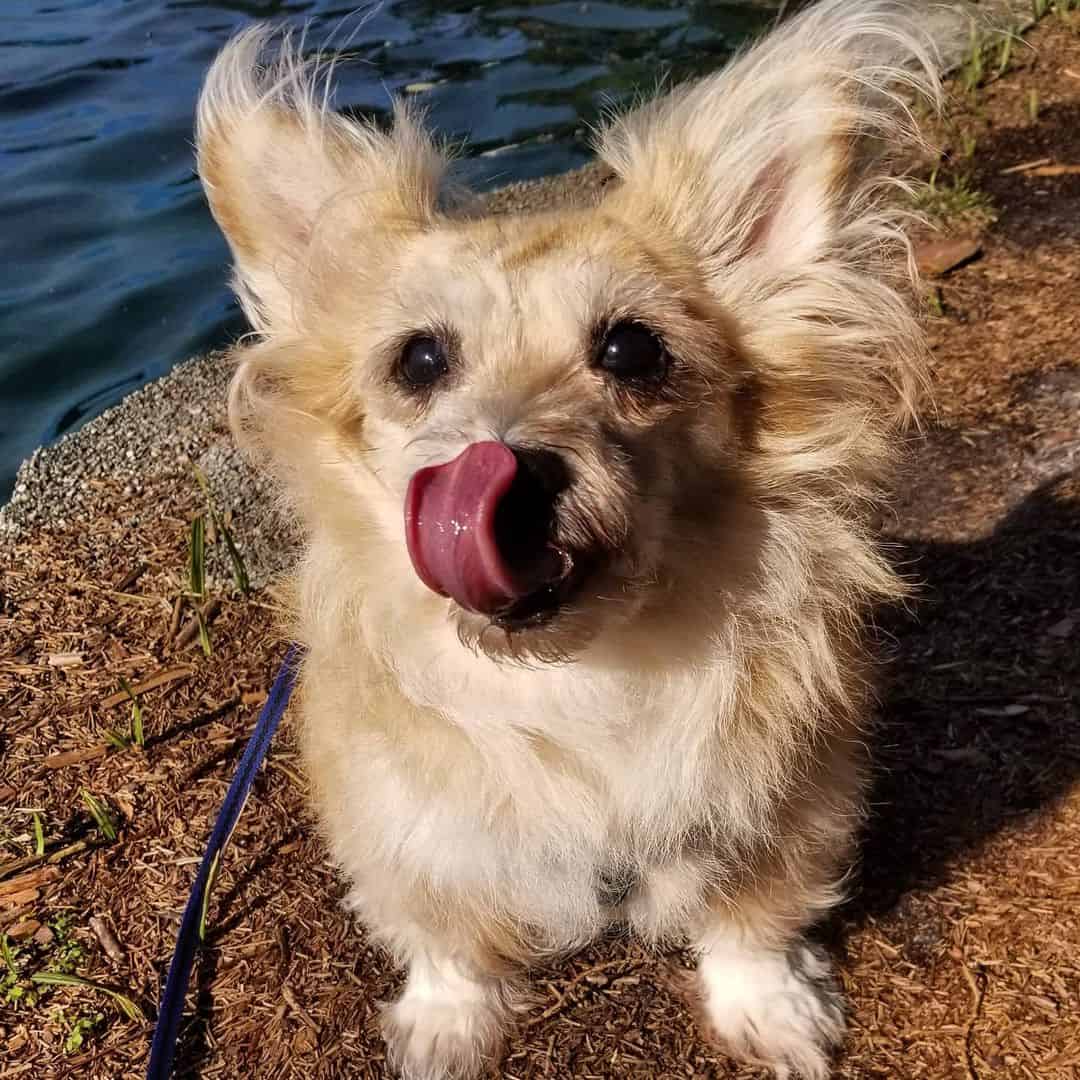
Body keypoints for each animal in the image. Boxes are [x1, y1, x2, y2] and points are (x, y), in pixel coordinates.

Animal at [198, 4, 950, 1075]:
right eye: (418, 360)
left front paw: (770, 1011)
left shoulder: (784, 810)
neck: (577, 675)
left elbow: (751, 926)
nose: (504, 472)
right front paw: (448, 1024)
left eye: (632, 349)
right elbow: (443, 937)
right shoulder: (405, 831)